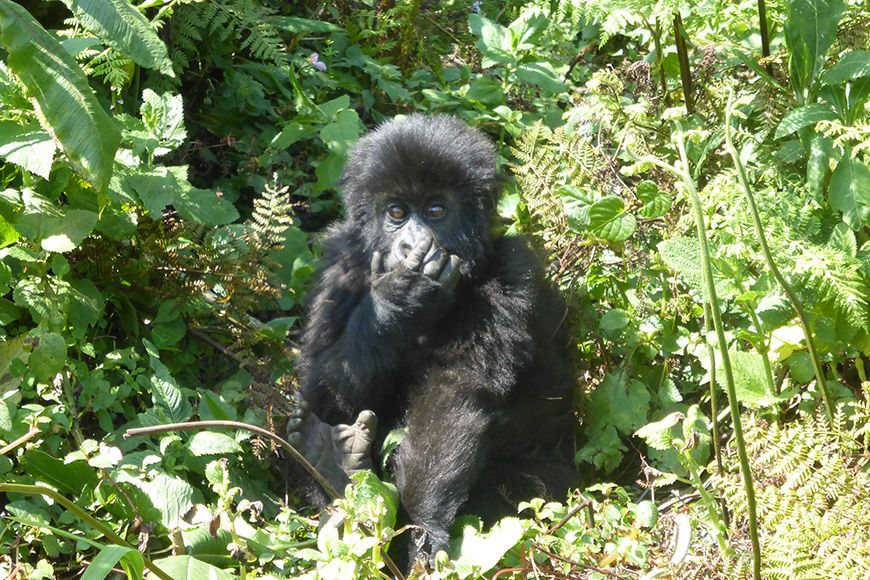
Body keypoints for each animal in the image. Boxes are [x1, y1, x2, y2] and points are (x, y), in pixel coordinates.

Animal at [288, 114, 580, 568]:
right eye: (396, 212)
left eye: (436, 211)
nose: (413, 244)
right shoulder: (341, 263)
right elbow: (319, 382)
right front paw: (399, 299)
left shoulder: (513, 270)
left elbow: (454, 391)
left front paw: (421, 532)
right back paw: (337, 472)